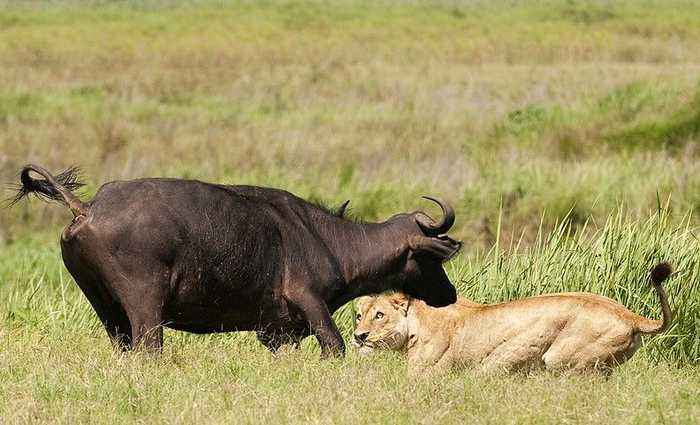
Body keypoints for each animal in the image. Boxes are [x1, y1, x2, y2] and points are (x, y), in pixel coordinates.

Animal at [10, 164, 462, 356]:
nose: (451, 294)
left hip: (104, 305)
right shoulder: (310, 302)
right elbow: (335, 346)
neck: (330, 241)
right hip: (145, 303)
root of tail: (88, 207)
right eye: (431, 260)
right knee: (147, 347)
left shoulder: (275, 331)